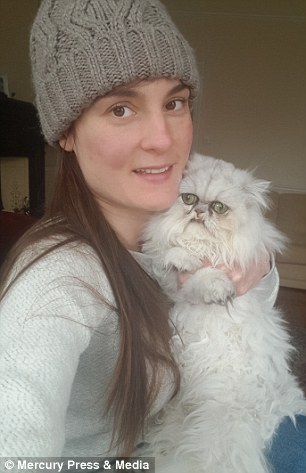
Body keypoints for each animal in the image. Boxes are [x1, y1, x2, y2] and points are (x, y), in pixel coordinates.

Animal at [140, 154, 306, 472]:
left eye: (219, 207)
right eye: (189, 199)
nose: (199, 211)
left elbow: (209, 276)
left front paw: (213, 283)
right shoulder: (173, 287)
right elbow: (177, 259)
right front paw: (183, 258)